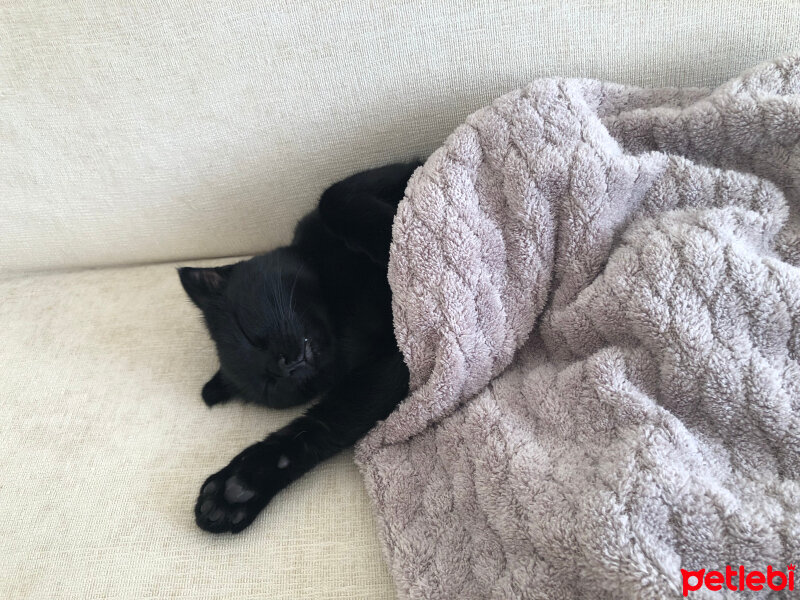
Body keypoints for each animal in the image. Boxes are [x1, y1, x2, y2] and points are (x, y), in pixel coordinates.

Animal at [179, 162, 422, 532]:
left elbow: (332, 196)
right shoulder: (392, 362)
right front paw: (239, 487)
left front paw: (395, 235)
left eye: (246, 333)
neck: (339, 313)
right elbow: (328, 421)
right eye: (269, 384)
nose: (285, 365)